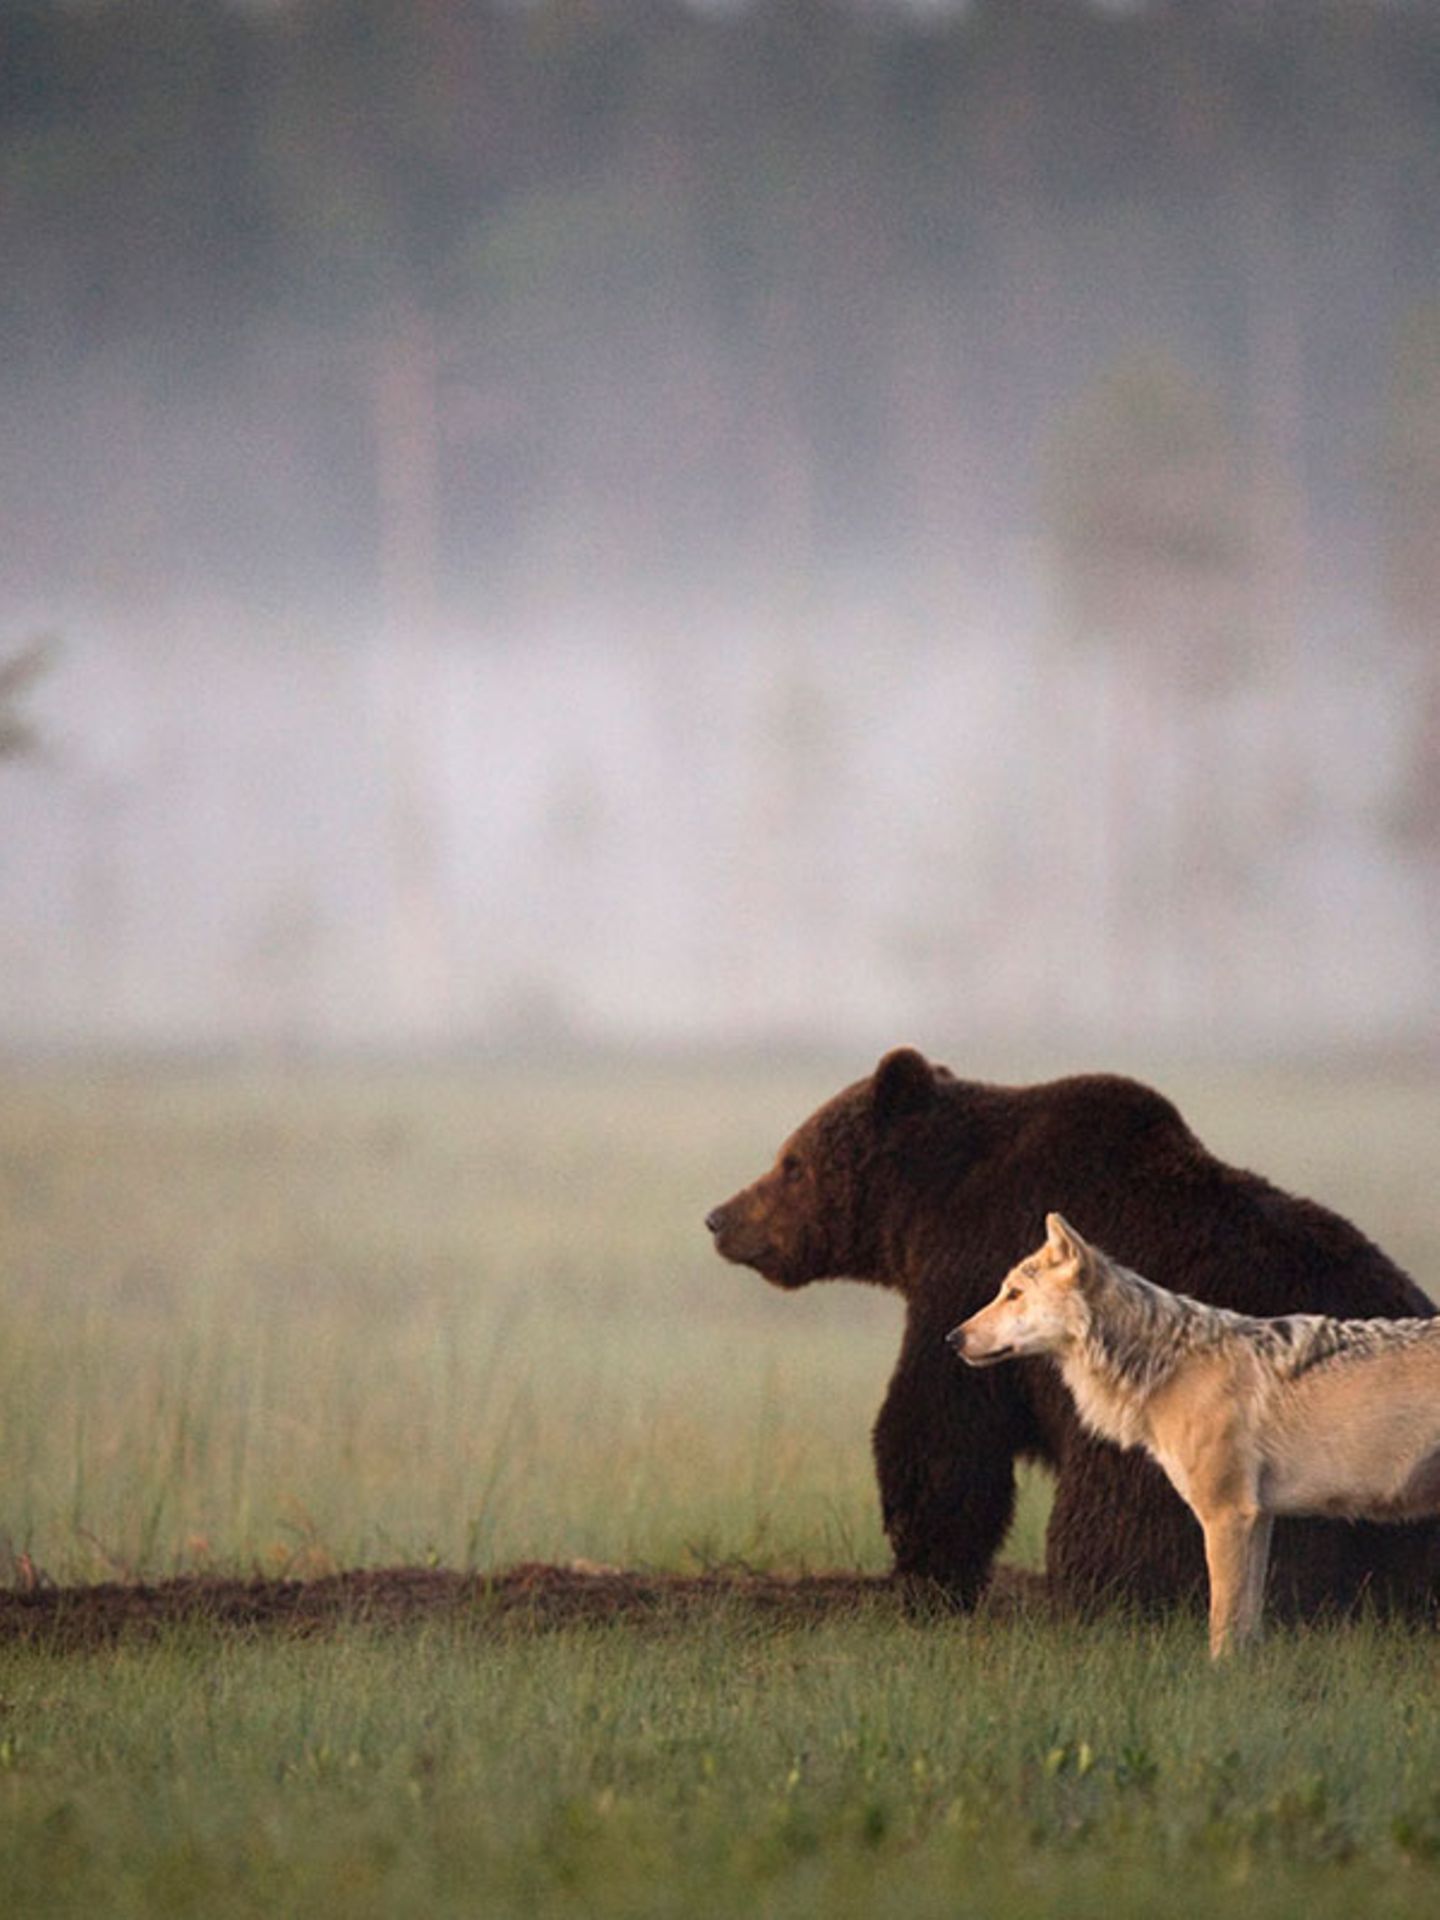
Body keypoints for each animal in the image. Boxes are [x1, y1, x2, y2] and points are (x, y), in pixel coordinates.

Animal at [949, 1214, 1440, 1656]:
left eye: (1014, 1294)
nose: (952, 1338)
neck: (1172, 1369)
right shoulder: (1258, 1518)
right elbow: (1247, 1627)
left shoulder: (1227, 1516)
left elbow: (1222, 1627)